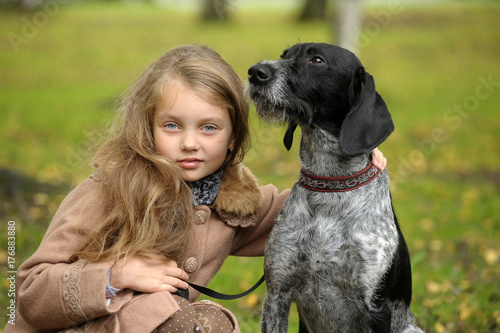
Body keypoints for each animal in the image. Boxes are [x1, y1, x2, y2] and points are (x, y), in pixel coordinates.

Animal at [246, 43, 422, 332]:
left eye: (317, 60)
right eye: (284, 55)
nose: (255, 72)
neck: (329, 186)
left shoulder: (377, 308)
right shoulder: (276, 295)